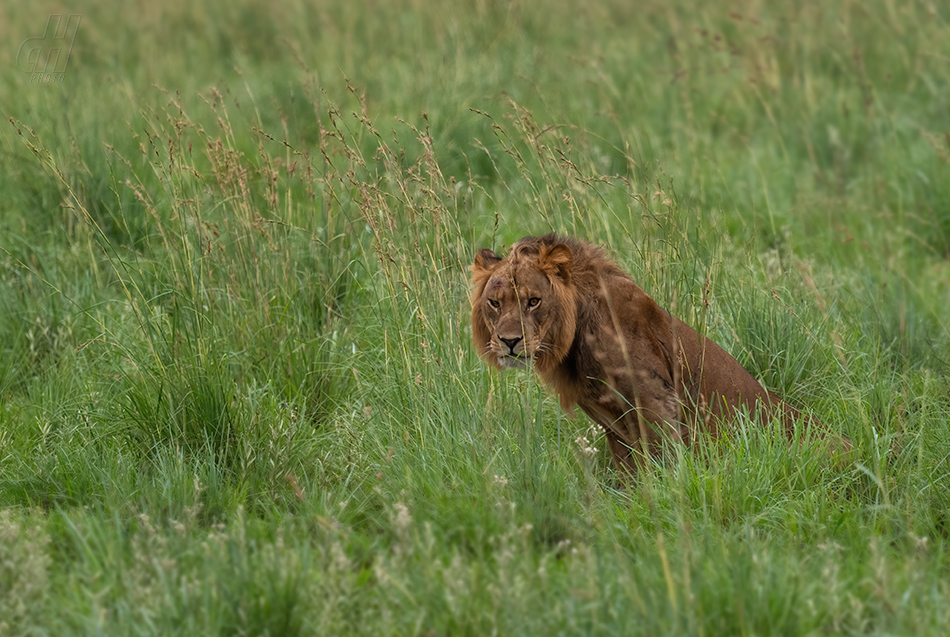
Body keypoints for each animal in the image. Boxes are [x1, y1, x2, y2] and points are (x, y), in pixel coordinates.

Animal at [472, 234, 852, 476]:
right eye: (495, 303)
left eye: (533, 301)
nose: (509, 341)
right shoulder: (615, 428)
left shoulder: (657, 405)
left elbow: (663, 467)